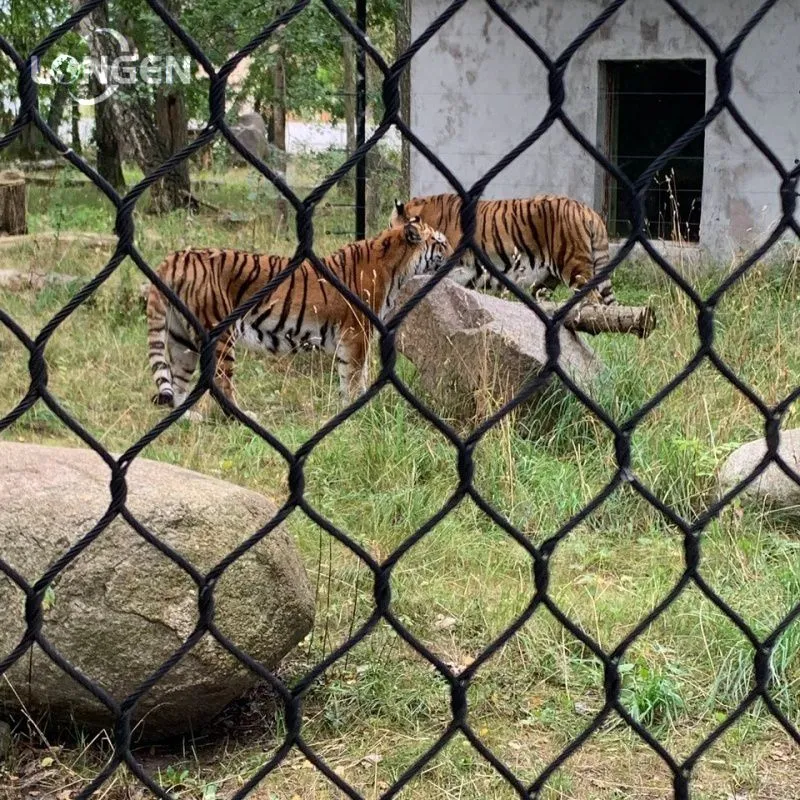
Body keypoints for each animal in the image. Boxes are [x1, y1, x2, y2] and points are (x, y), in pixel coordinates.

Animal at [146, 212, 453, 418]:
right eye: (440, 242)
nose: (457, 254)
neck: (397, 268)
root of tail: (173, 258)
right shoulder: (357, 332)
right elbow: (355, 376)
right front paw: (358, 410)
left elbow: (351, 375)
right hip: (219, 334)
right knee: (220, 381)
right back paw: (239, 416)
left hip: (181, 338)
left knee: (179, 380)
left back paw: (189, 418)